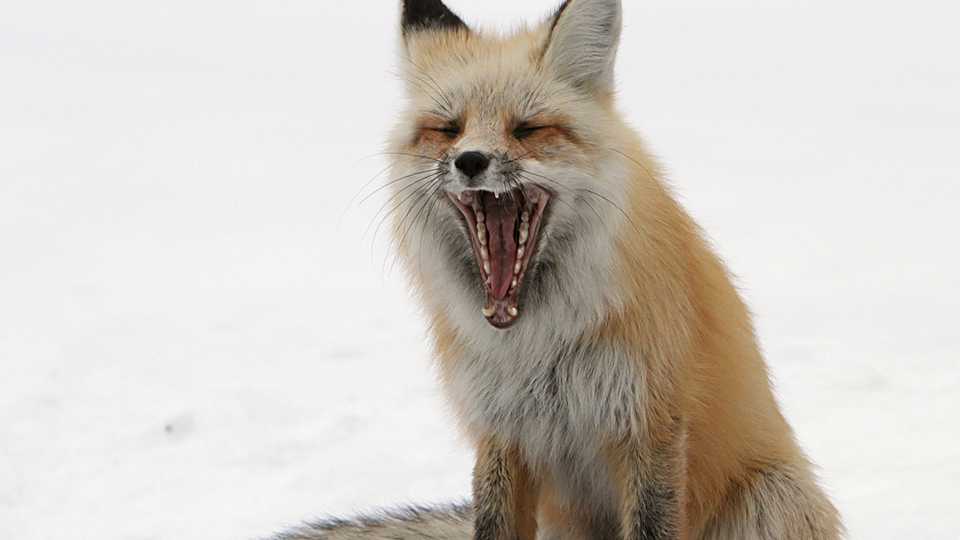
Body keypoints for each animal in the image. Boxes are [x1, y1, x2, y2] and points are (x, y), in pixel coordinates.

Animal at [274, 0, 843, 539]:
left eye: (527, 129)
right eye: (448, 130)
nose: (470, 160)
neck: (538, 344)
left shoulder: (649, 424)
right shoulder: (501, 432)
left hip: (772, 496)